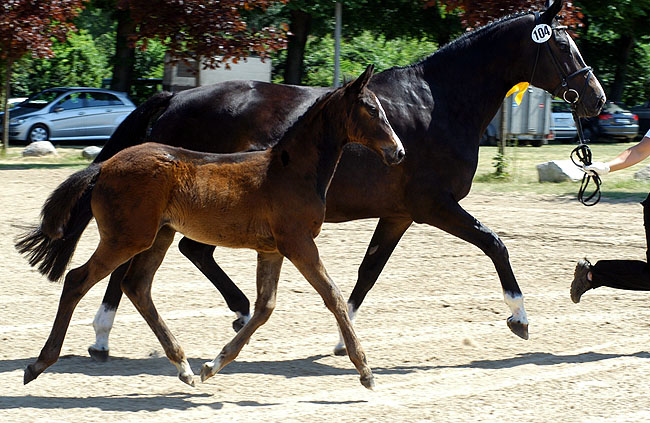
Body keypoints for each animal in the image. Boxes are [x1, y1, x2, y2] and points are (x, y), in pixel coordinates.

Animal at [20, 67, 402, 390]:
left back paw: (184, 367)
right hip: (126, 238)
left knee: (137, 285)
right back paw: (39, 364)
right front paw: (366, 372)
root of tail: (104, 167)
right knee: (78, 280)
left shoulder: (272, 248)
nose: (398, 152)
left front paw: (211, 366)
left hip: (159, 235)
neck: (291, 171)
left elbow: (264, 307)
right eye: (371, 109)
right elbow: (333, 296)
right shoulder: (298, 242)